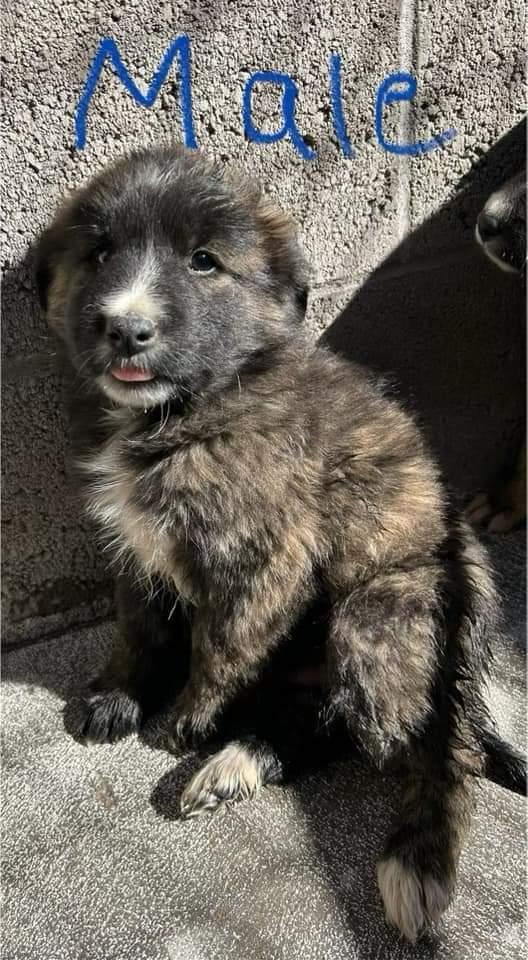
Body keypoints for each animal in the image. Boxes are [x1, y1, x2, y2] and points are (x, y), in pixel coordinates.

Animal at [36, 146, 524, 940]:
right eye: (99, 253)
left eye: (204, 261)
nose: (127, 328)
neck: (195, 408)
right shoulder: (133, 543)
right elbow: (138, 629)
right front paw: (117, 697)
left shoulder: (266, 558)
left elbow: (221, 644)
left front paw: (184, 723)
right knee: (323, 722)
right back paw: (237, 762)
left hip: (381, 612)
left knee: (433, 745)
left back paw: (413, 856)